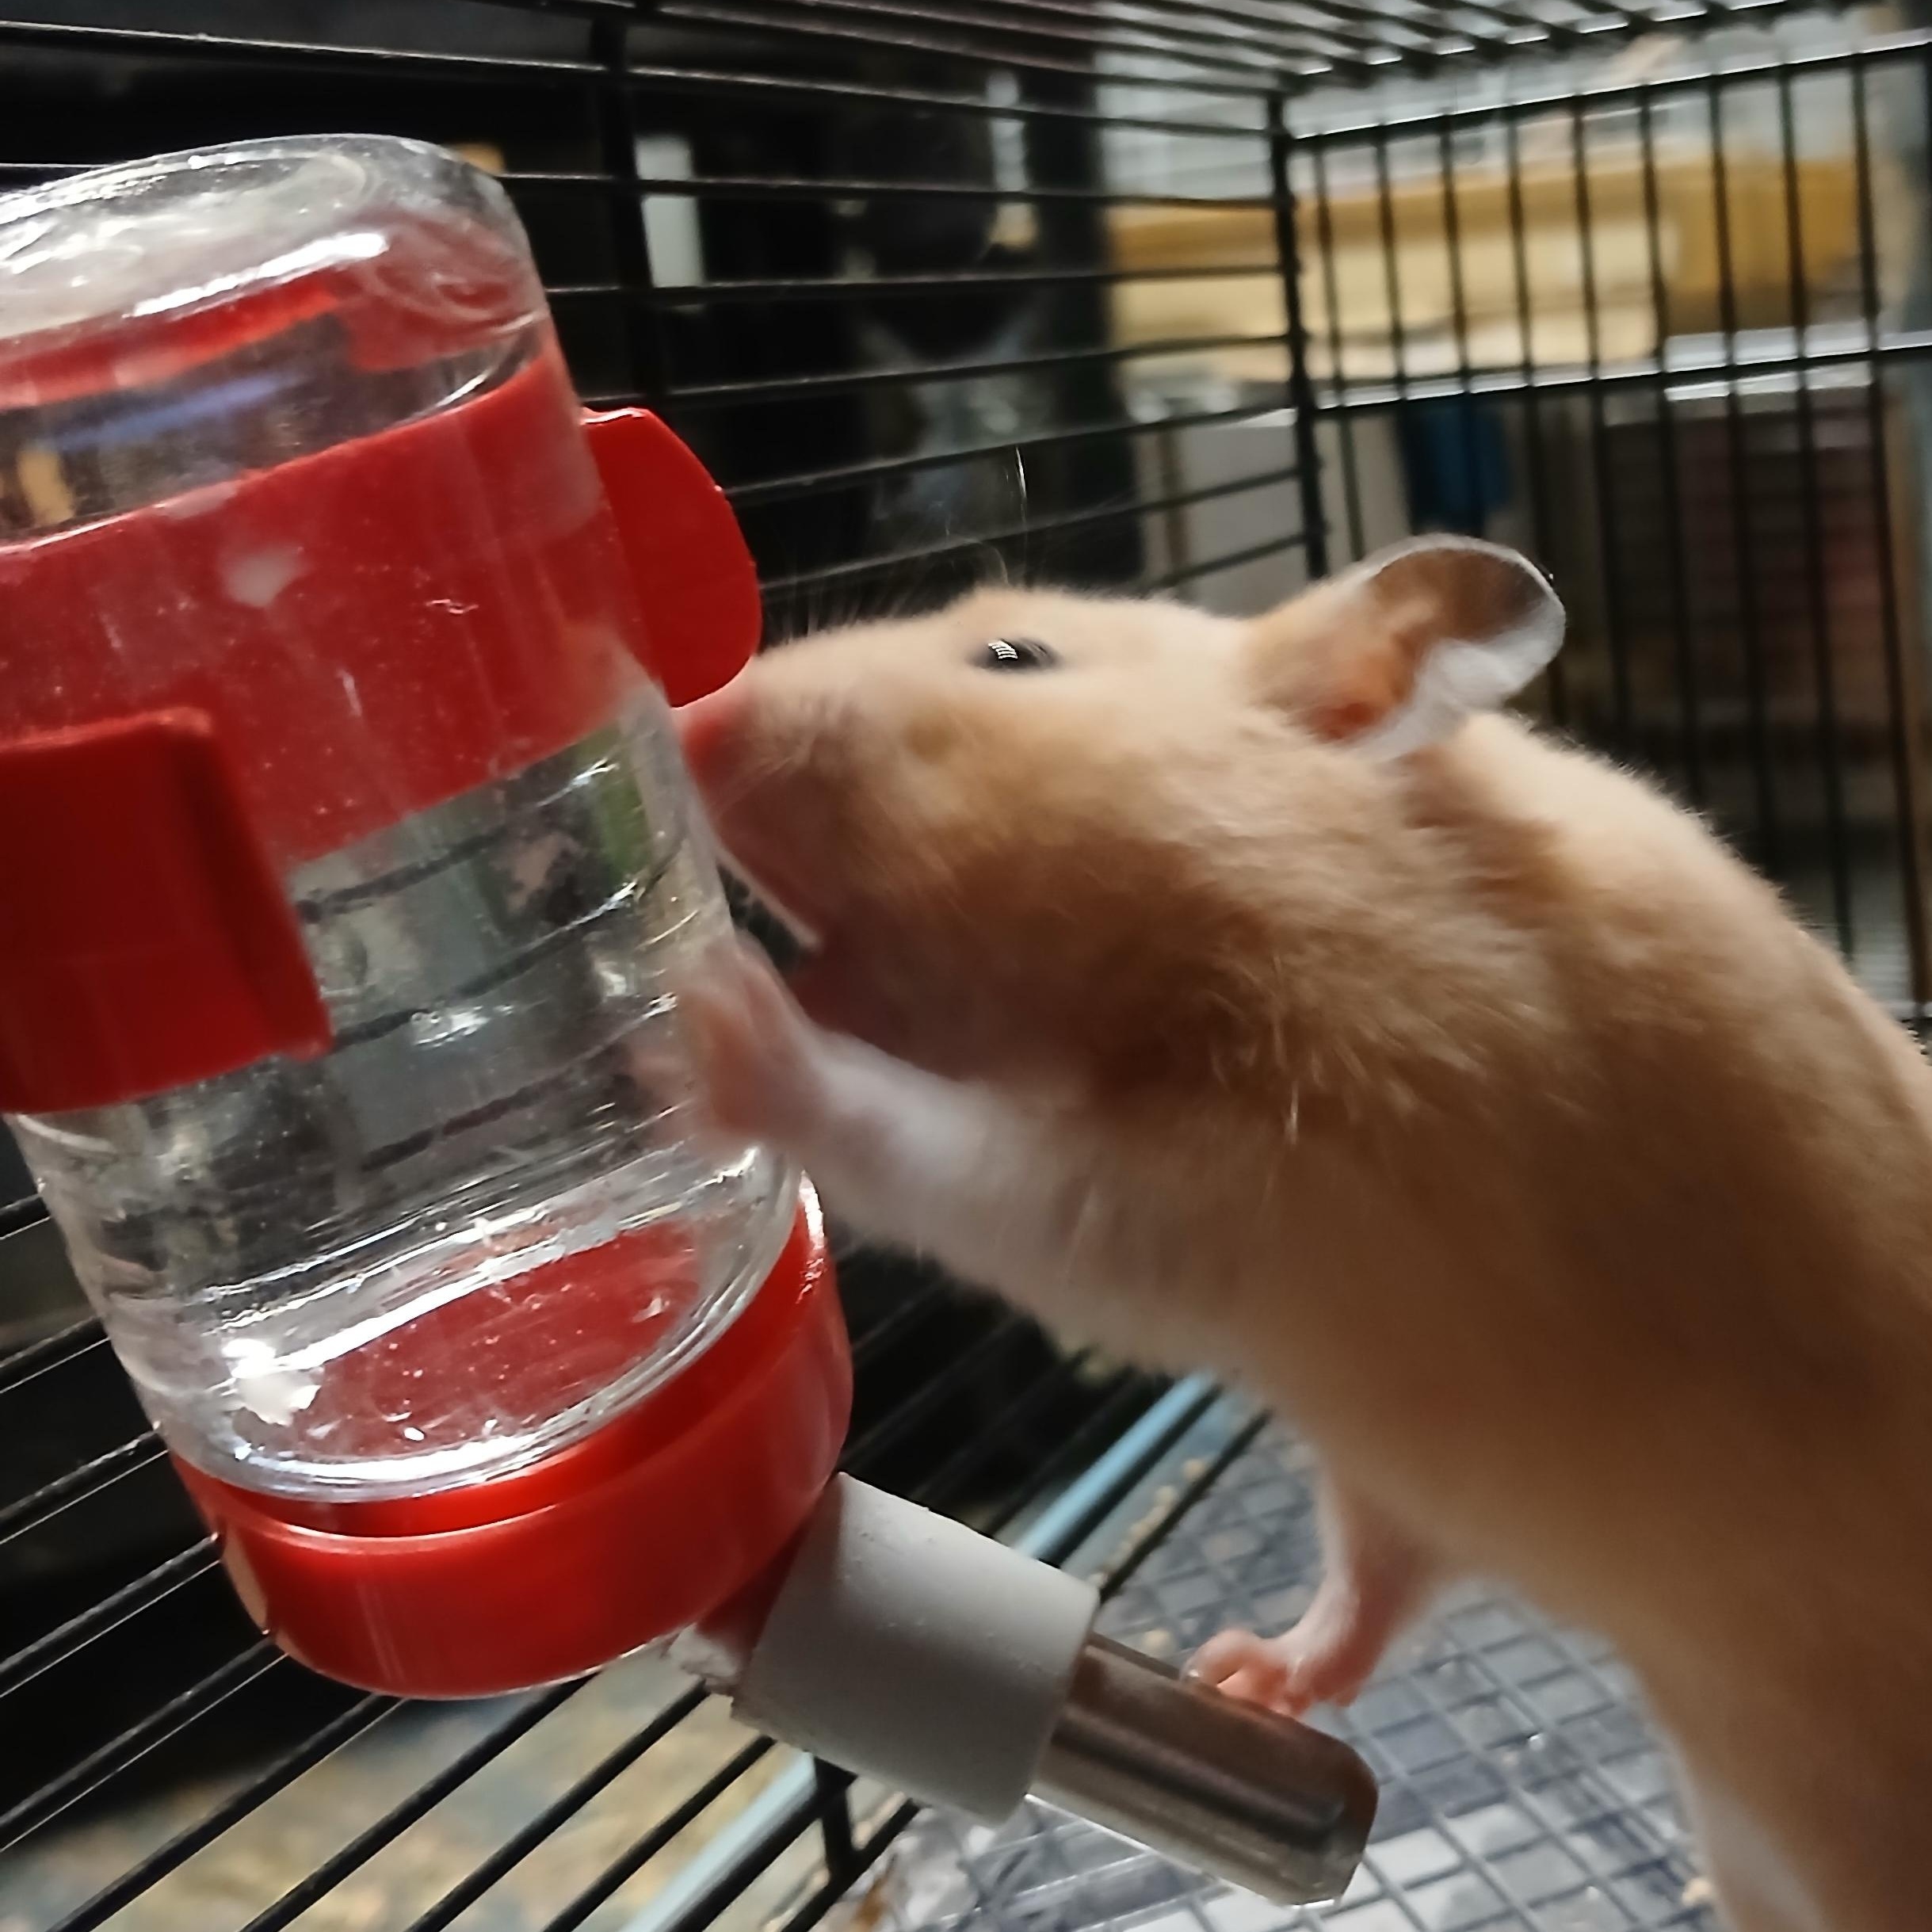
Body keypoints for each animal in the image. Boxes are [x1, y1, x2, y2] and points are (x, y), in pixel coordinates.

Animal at [674, 538, 1932, 1932]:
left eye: (1014, 657)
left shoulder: (1235, 1196)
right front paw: (1232, 1671)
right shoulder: (1386, 1452)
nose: (691, 720)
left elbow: (944, 1157)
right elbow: (1363, 1588)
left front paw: (717, 1009)